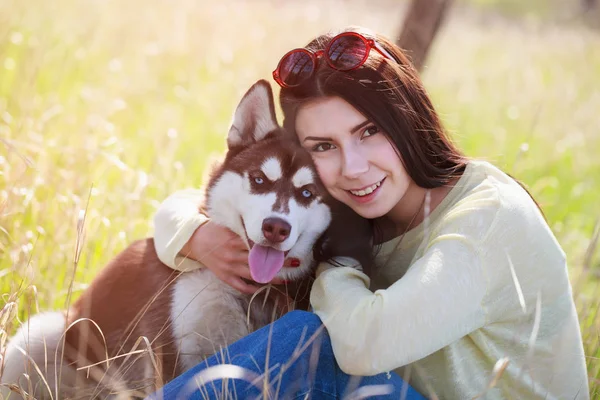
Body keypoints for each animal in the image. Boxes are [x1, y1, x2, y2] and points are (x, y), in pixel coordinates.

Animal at [0, 81, 370, 400]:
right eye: (259, 180)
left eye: (308, 193)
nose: (275, 227)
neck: (245, 291)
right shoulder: (172, 354)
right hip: (40, 336)